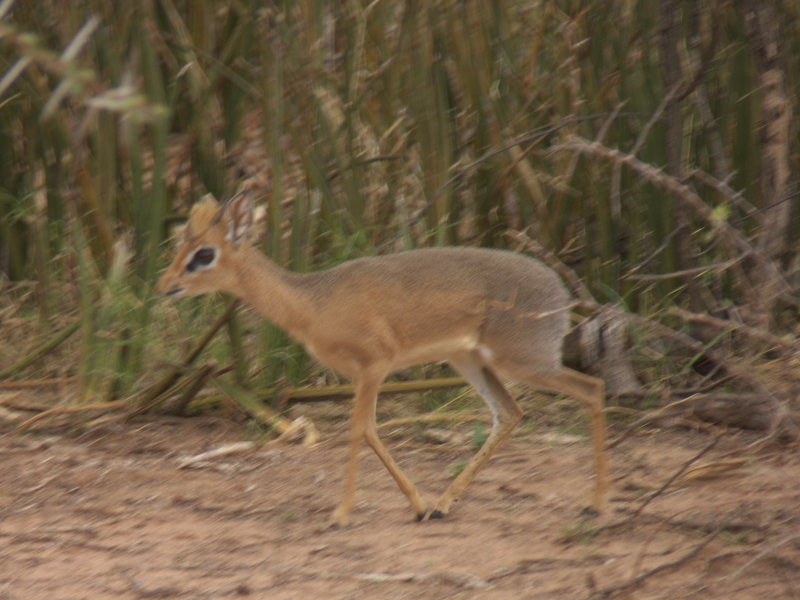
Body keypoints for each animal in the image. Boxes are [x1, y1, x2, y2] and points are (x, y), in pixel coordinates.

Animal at [156, 191, 609, 526]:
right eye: (182, 245)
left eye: (204, 254)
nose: (165, 286)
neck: (313, 303)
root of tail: (561, 291)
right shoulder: (363, 375)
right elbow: (372, 431)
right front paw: (418, 506)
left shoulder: (373, 367)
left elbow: (358, 431)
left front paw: (340, 514)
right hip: (470, 362)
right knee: (510, 413)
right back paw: (443, 505)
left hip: (526, 362)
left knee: (592, 387)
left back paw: (595, 505)